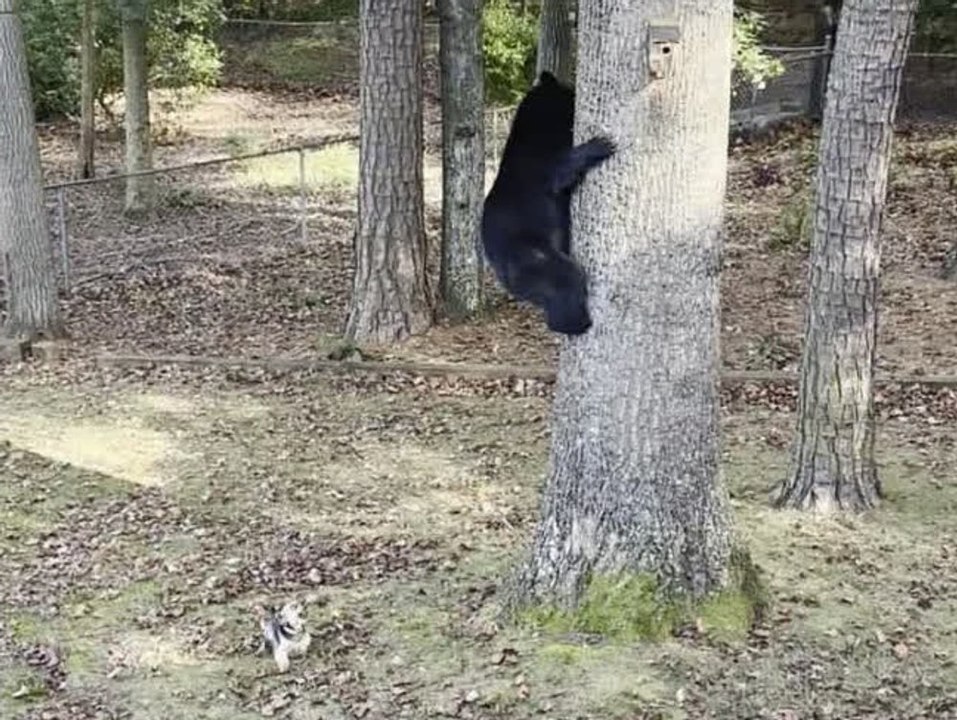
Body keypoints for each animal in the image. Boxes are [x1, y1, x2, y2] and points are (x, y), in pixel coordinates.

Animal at [481, 71, 616, 336]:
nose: (576, 92)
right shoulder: (540, 163)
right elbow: (561, 171)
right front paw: (601, 144)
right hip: (533, 258)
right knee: (568, 280)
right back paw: (579, 323)